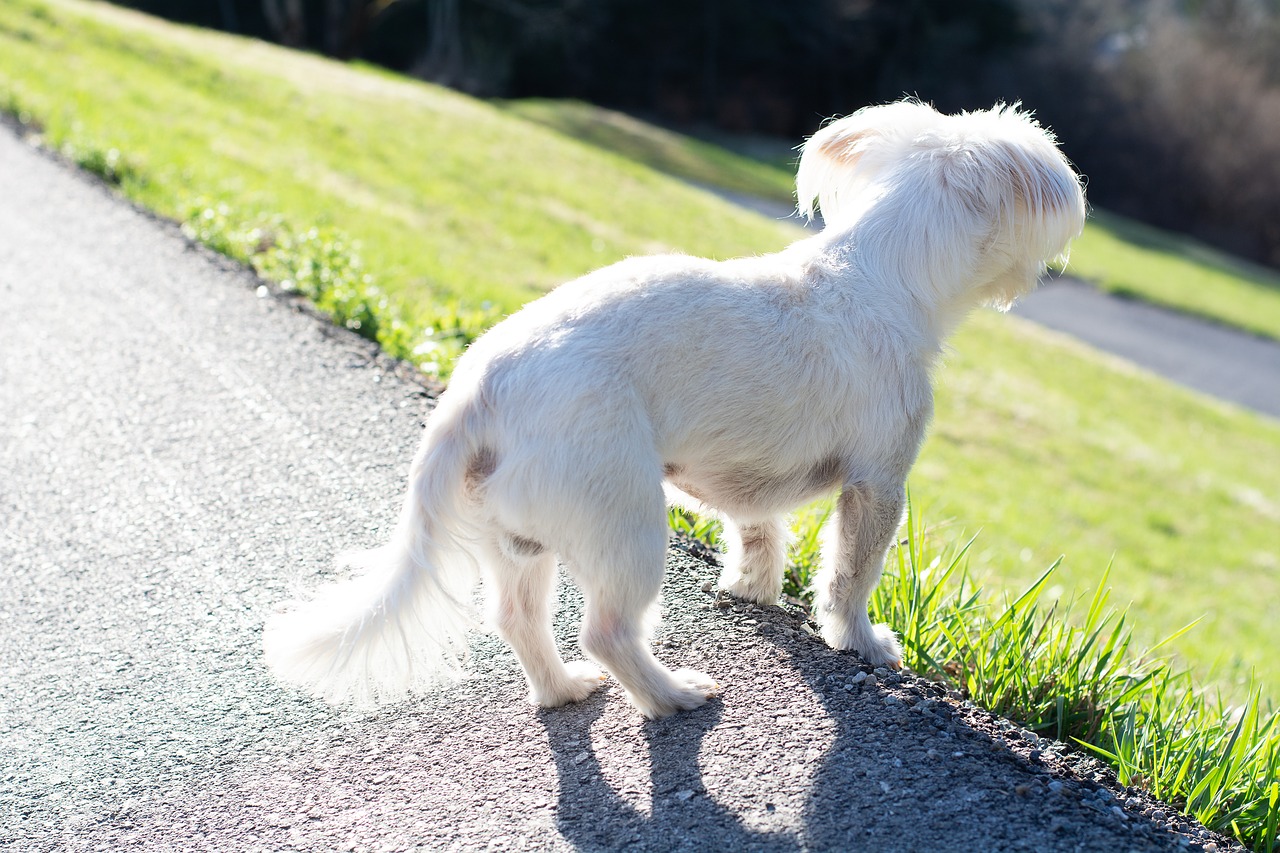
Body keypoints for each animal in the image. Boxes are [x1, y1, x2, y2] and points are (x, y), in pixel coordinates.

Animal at [264, 103, 1085, 722]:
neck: (878, 270)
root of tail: (479, 388)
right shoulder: (879, 482)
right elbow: (852, 572)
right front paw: (859, 639)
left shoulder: (746, 474)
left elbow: (758, 530)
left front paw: (751, 588)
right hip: (626, 520)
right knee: (606, 630)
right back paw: (670, 696)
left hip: (517, 537)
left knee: (519, 620)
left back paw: (562, 689)